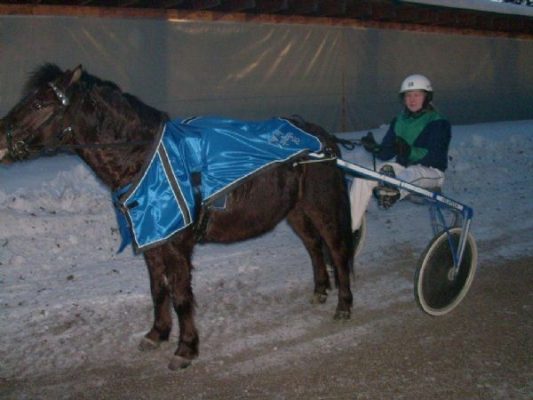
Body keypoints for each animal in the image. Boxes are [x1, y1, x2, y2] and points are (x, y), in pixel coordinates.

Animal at [0, 64, 354, 370]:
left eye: (40, 103)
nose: (2, 137)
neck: (143, 157)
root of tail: (323, 139)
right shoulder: (153, 241)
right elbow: (159, 291)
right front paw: (156, 334)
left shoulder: (176, 245)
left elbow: (181, 296)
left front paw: (186, 348)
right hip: (296, 212)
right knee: (314, 247)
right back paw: (320, 291)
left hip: (323, 207)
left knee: (337, 251)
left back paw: (344, 305)